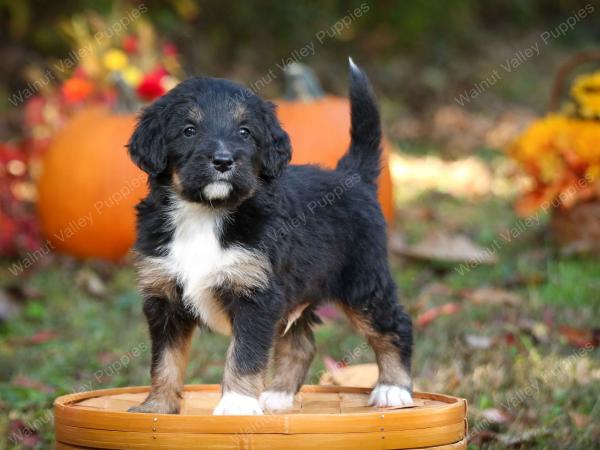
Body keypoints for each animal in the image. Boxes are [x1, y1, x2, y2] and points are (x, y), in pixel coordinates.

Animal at [127, 59, 412, 414]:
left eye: (244, 132)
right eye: (188, 130)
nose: (223, 161)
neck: (206, 213)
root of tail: (352, 176)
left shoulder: (256, 296)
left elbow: (244, 355)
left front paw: (235, 404)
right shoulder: (163, 297)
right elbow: (164, 360)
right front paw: (157, 407)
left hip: (362, 284)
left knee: (395, 326)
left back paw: (393, 389)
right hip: (300, 291)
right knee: (302, 343)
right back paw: (277, 395)